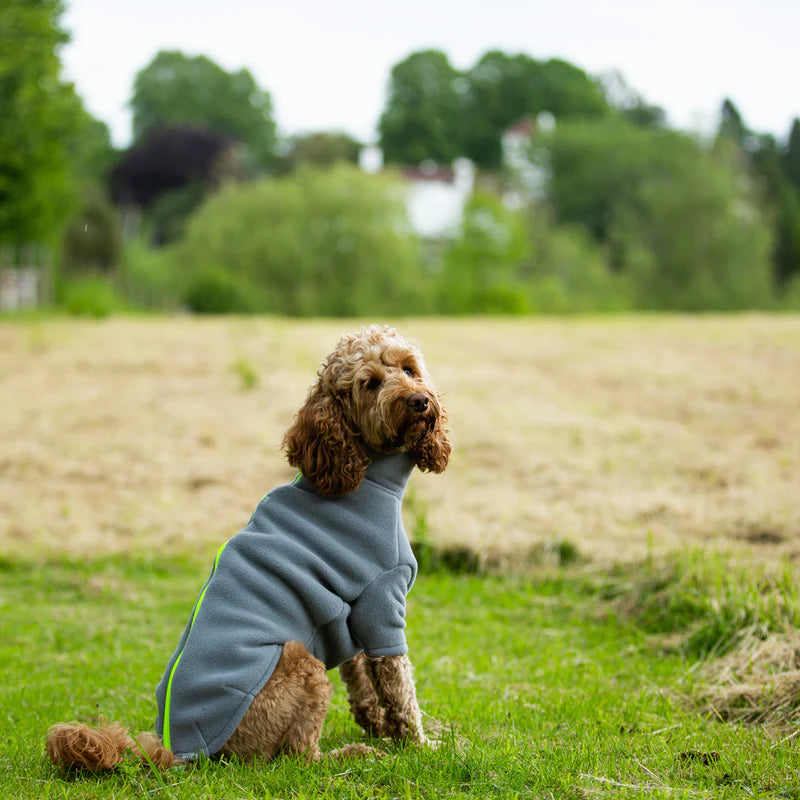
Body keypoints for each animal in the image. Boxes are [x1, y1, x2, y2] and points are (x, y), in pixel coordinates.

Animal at [45, 324, 450, 768]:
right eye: (371, 383)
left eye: (409, 369)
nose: (419, 400)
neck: (362, 473)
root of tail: (178, 749)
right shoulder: (382, 603)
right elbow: (399, 687)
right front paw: (419, 744)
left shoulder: (352, 617)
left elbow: (360, 678)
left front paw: (379, 725)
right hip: (301, 662)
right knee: (300, 754)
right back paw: (354, 755)